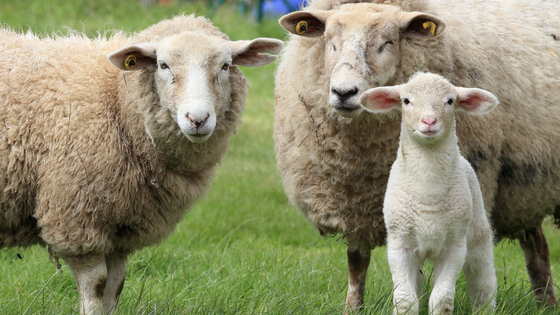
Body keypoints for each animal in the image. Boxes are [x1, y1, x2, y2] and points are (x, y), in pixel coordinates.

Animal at [358, 72, 494, 315]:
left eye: (450, 101)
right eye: (406, 101)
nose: (429, 121)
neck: (427, 192)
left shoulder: (455, 246)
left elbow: (441, 299)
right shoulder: (399, 244)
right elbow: (405, 300)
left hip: (477, 233)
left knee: (483, 280)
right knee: (418, 281)